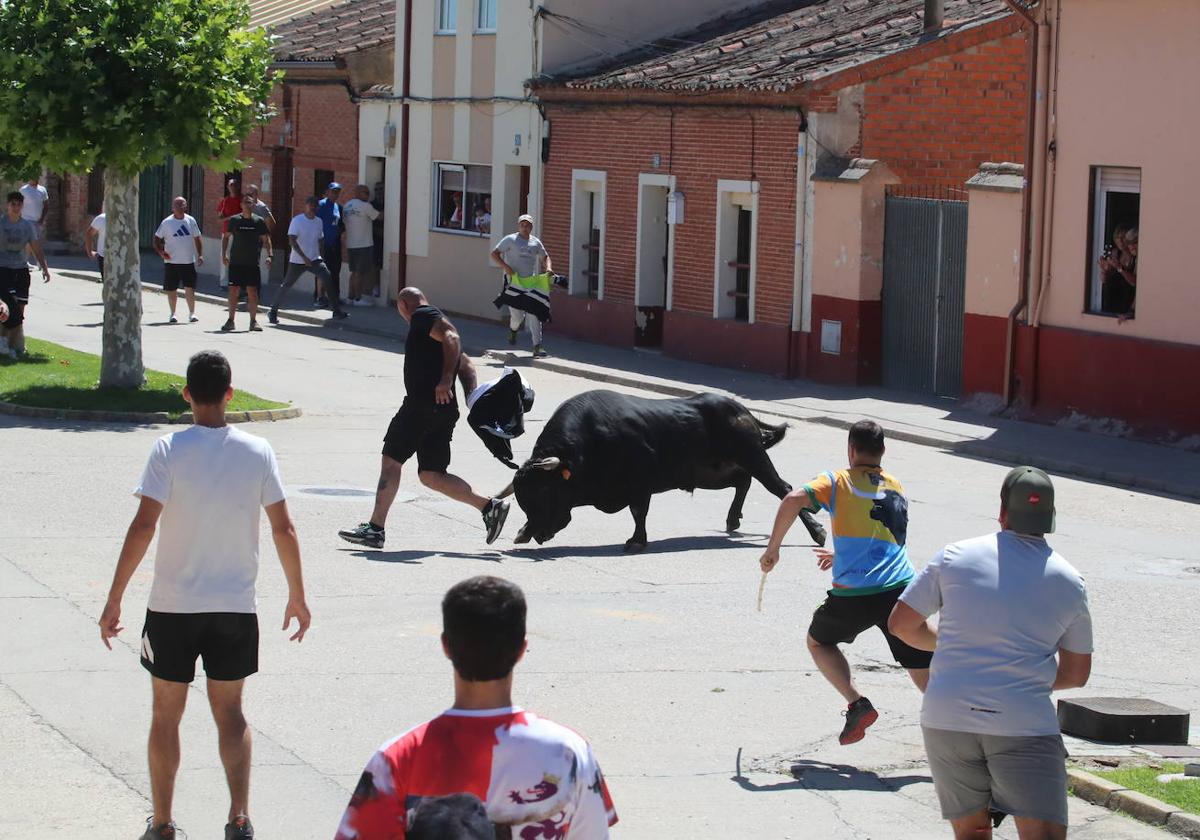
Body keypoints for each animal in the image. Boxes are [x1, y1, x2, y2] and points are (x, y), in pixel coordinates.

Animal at [494, 391, 825, 552]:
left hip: (753, 457)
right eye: (524, 500)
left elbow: (638, 511)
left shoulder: (641, 483)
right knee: (742, 482)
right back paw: (732, 520)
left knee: (782, 488)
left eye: (545, 492)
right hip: (713, 473)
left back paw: (818, 533)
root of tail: (739, 409)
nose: (538, 534)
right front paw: (522, 532)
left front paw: (637, 541)